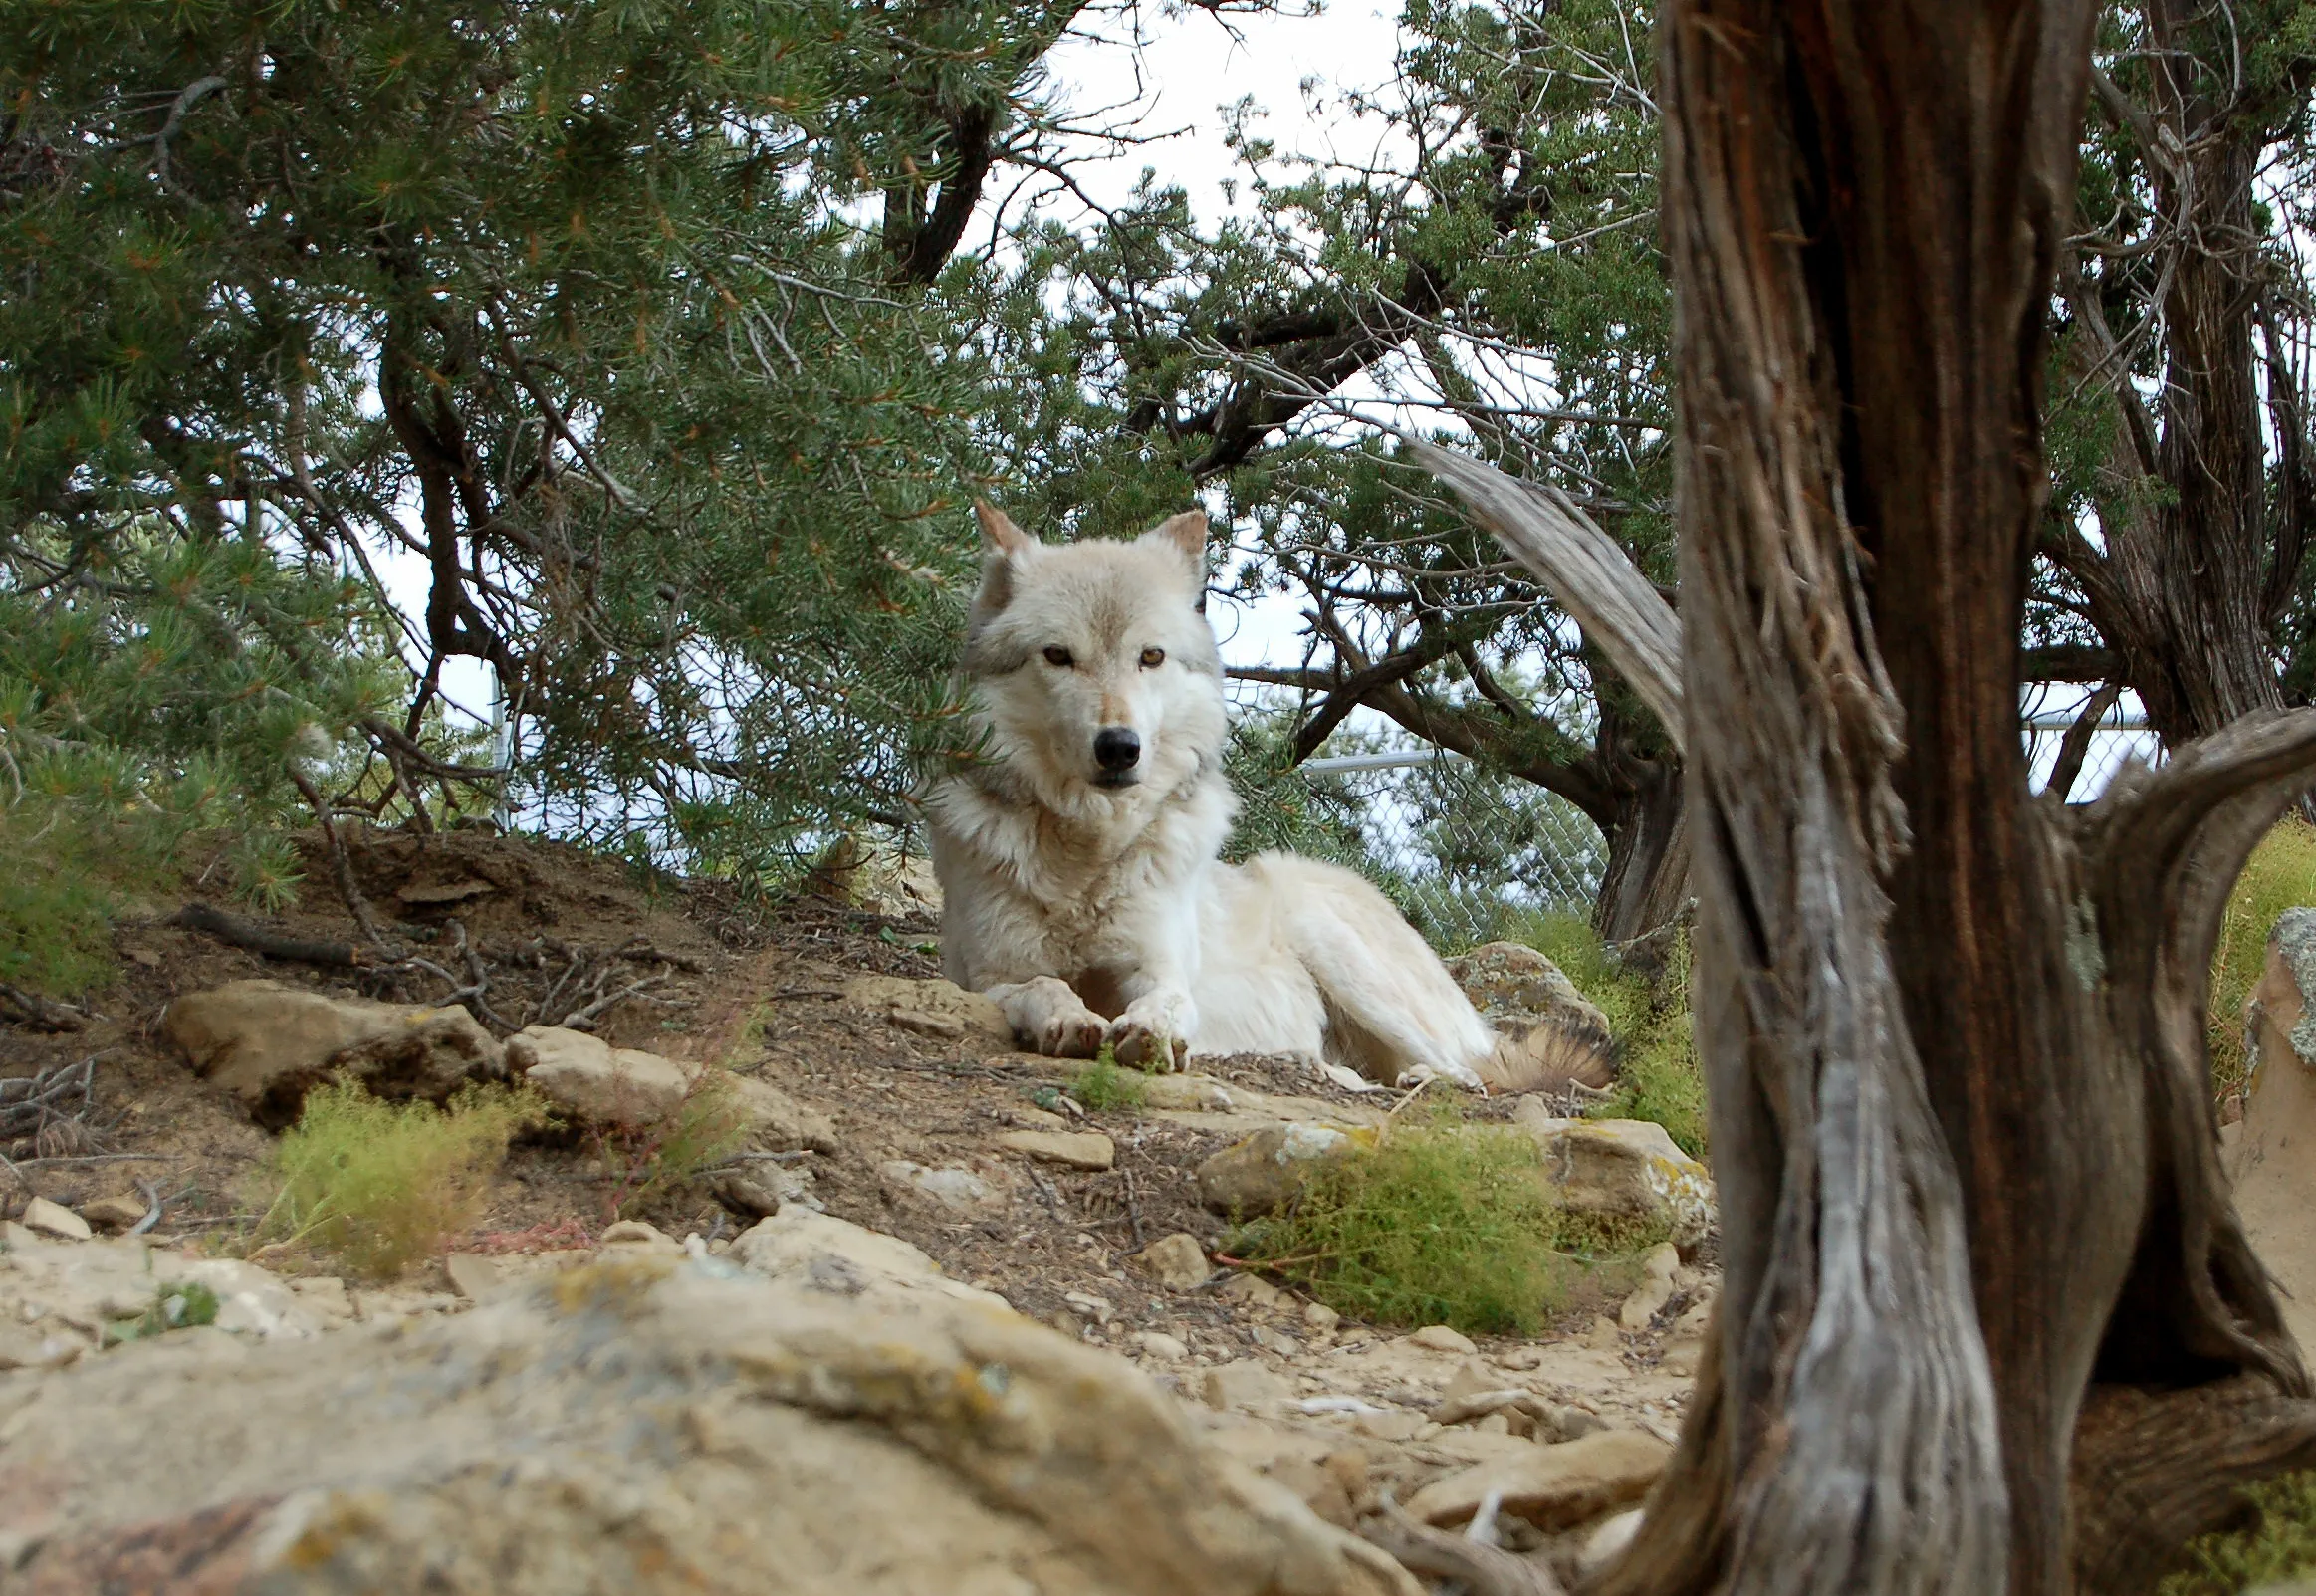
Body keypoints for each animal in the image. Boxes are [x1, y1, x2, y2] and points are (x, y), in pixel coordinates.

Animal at [921, 500, 1501, 1088]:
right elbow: (1042, 985)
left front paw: (1149, 1033)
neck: (1088, 858)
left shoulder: (1160, 967)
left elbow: (1166, 1001)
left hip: (1331, 944)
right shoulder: (987, 976)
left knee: (1463, 1072)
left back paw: (1420, 1077)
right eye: (1058, 656)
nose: (1119, 747)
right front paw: (1069, 1019)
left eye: (1151, 657)